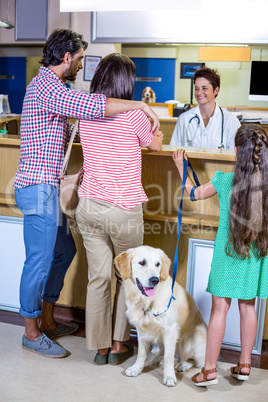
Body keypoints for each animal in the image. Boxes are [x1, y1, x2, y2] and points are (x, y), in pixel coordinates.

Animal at [114, 245, 206, 386]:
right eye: (142, 262)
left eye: (158, 264)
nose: (155, 280)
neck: (147, 301)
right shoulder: (141, 329)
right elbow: (141, 353)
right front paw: (136, 369)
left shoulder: (170, 330)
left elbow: (168, 357)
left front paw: (169, 377)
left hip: (189, 337)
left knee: (196, 362)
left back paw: (183, 365)